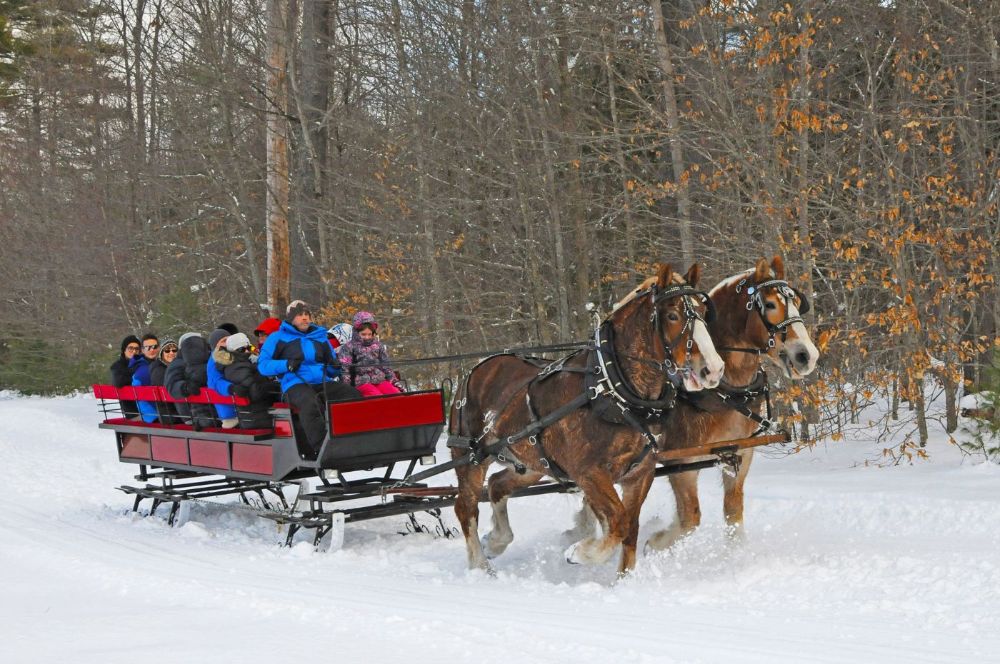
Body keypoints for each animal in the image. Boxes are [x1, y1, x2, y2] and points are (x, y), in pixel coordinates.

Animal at [448, 263, 726, 576]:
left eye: (702, 310)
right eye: (673, 315)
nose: (713, 369)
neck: (611, 390)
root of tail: (476, 369)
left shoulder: (639, 474)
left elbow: (629, 529)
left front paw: (621, 579)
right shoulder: (590, 473)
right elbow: (617, 522)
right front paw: (580, 552)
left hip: (529, 463)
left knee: (496, 485)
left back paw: (496, 541)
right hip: (471, 459)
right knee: (465, 506)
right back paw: (480, 565)